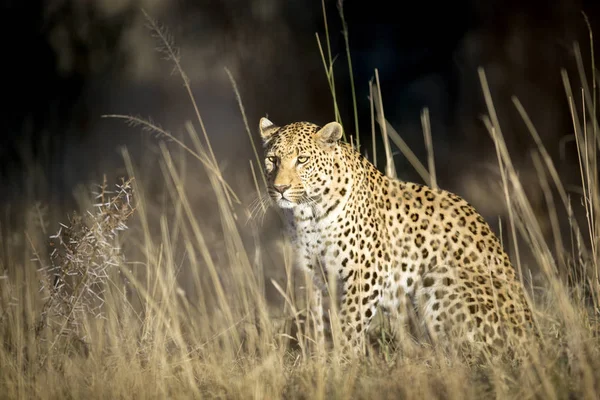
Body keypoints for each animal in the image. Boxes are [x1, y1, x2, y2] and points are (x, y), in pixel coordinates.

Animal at [260, 117, 540, 360]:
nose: (280, 188)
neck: (308, 215)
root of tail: (531, 333)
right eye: (272, 159)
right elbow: (319, 320)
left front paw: (345, 361)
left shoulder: (366, 270)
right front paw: (319, 359)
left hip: (438, 278)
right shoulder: (315, 274)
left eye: (302, 160)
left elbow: (351, 322)